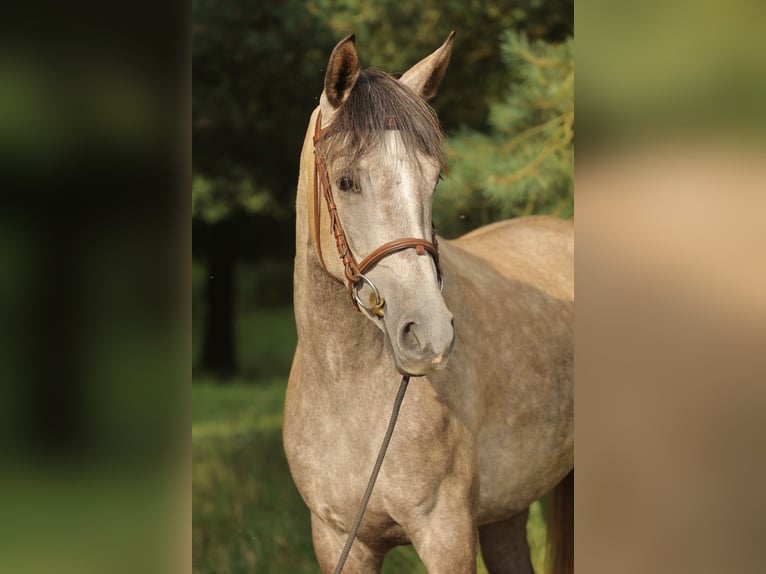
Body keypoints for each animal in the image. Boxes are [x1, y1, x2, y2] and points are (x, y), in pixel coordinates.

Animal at [284, 32, 572, 574]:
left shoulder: (446, 534)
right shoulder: (337, 540)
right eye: (346, 181)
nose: (429, 334)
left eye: (434, 178)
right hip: (506, 513)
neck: (348, 392)